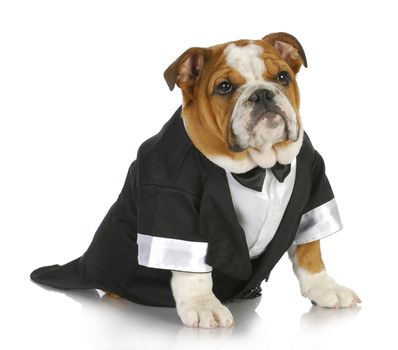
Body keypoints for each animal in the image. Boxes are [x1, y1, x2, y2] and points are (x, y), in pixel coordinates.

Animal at [31, 32, 360, 328]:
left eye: (282, 77)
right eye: (225, 87)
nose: (262, 93)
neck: (259, 167)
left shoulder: (312, 182)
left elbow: (310, 249)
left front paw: (325, 288)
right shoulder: (172, 197)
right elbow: (192, 269)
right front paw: (203, 306)